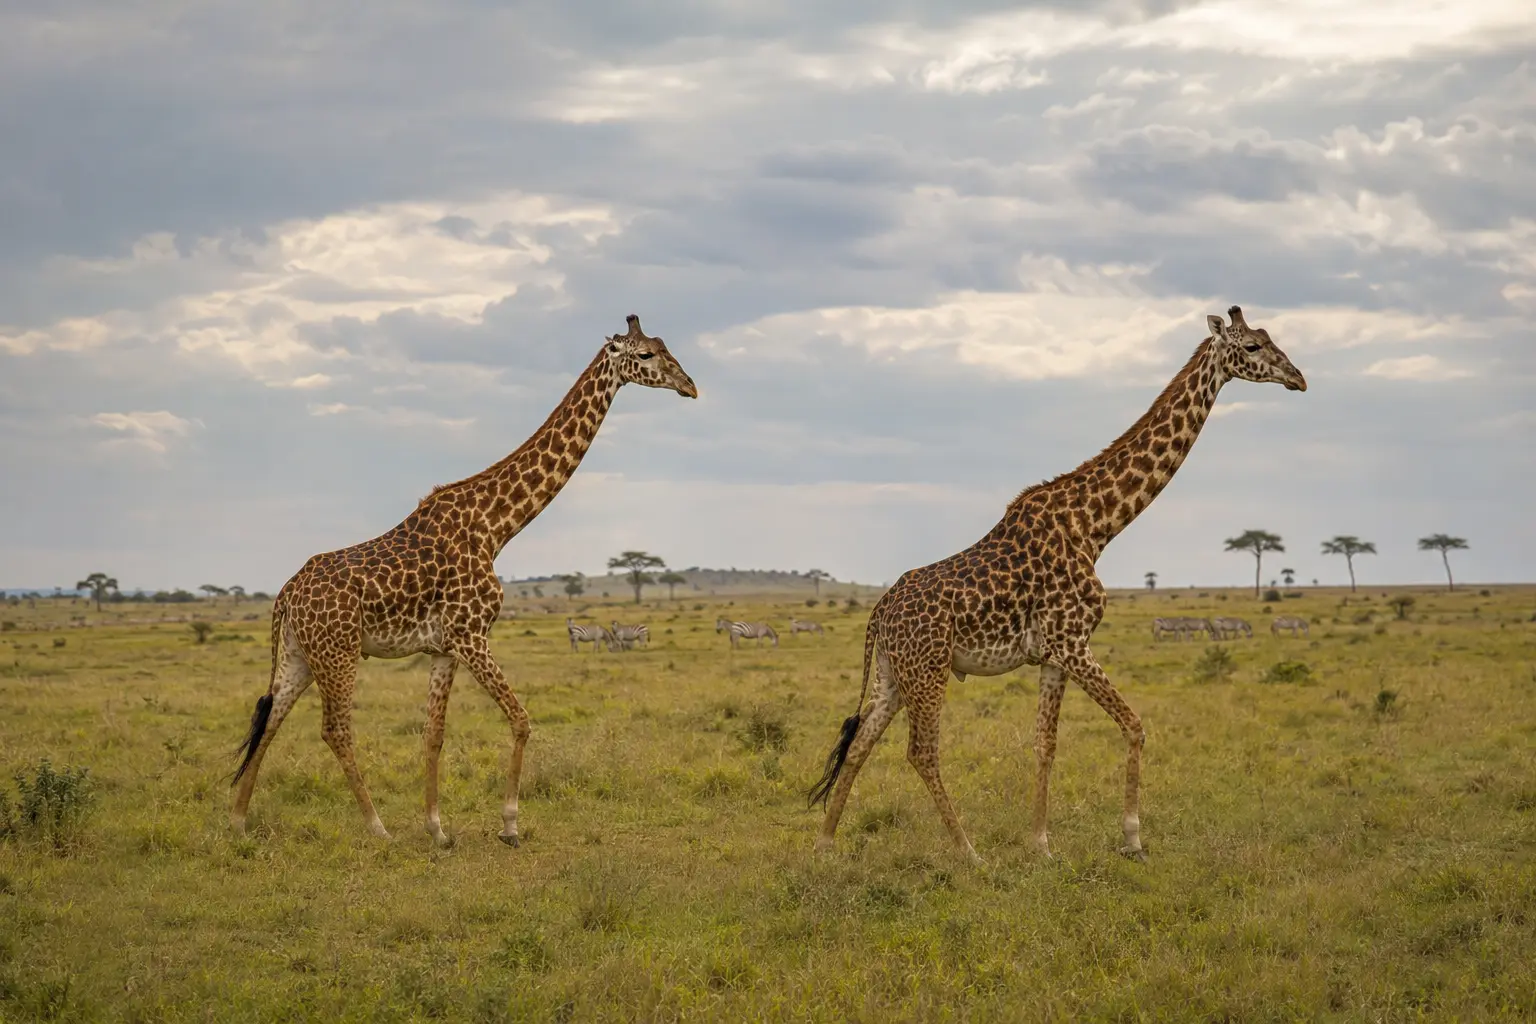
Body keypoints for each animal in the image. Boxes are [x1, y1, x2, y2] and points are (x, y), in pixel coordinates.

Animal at [230, 315, 697, 847]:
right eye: (644, 355)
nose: (690, 385)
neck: (495, 527)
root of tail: (285, 595)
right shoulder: (472, 635)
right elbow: (520, 719)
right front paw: (510, 824)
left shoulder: (444, 647)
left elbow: (434, 733)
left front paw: (437, 830)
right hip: (339, 653)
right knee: (335, 730)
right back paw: (377, 827)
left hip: (298, 655)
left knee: (269, 719)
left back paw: (238, 822)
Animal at [808, 306, 1306, 864]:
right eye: (1254, 347)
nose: (1298, 378)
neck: (1095, 526)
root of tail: (879, 611)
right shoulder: (1073, 642)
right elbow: (1134, 725)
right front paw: (1132, 838)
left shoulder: (1053, 655)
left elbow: (1045, 744)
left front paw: (1041, 844)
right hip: (929, 668)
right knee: (921, 751)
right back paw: (968, 851)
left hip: (894, 673)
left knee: (859, 743)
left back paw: (825, 844)